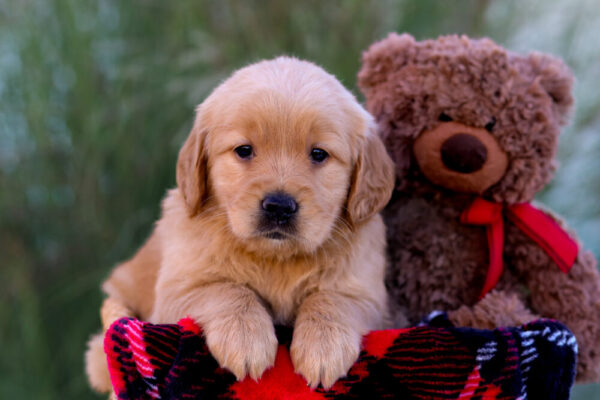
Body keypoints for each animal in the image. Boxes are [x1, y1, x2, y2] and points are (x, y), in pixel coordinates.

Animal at [84, 56, 394, 390]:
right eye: (244, 150)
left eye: (319, 154)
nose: (279, 207)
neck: (277, 259)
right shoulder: (175, 294)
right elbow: (226, 289)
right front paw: (245, 340)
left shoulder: (371, 297)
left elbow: (332, 298)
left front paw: (324, 347)